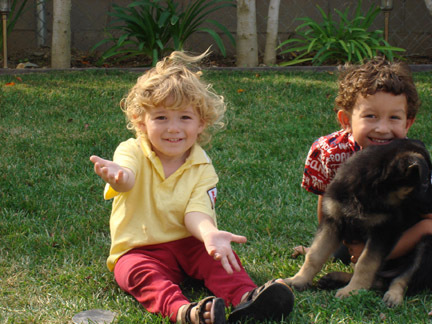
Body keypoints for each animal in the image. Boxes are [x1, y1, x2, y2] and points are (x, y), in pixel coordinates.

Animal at [284, 139, 432, 306]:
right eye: (426, 182)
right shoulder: (333, 221)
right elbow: (315, 255)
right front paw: (298, 280)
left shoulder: (383, 232)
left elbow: (366, 263)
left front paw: (352, 290)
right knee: (380, 280)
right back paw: (333, 279)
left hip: (426, 244)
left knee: (401, 277)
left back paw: (393, 295)